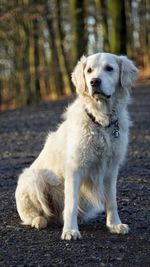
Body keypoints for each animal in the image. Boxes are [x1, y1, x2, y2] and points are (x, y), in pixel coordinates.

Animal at [15, 52, 138, 241]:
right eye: (89, 70)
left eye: (109, 68)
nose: (94, 81)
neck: (100, 121)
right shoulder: (75, 169)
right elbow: (71, 204)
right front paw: (70, 230)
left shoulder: (111, 169)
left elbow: (112, 200)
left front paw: (115, 224)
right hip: (33, 178)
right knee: (33, 215)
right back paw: (39, 220)